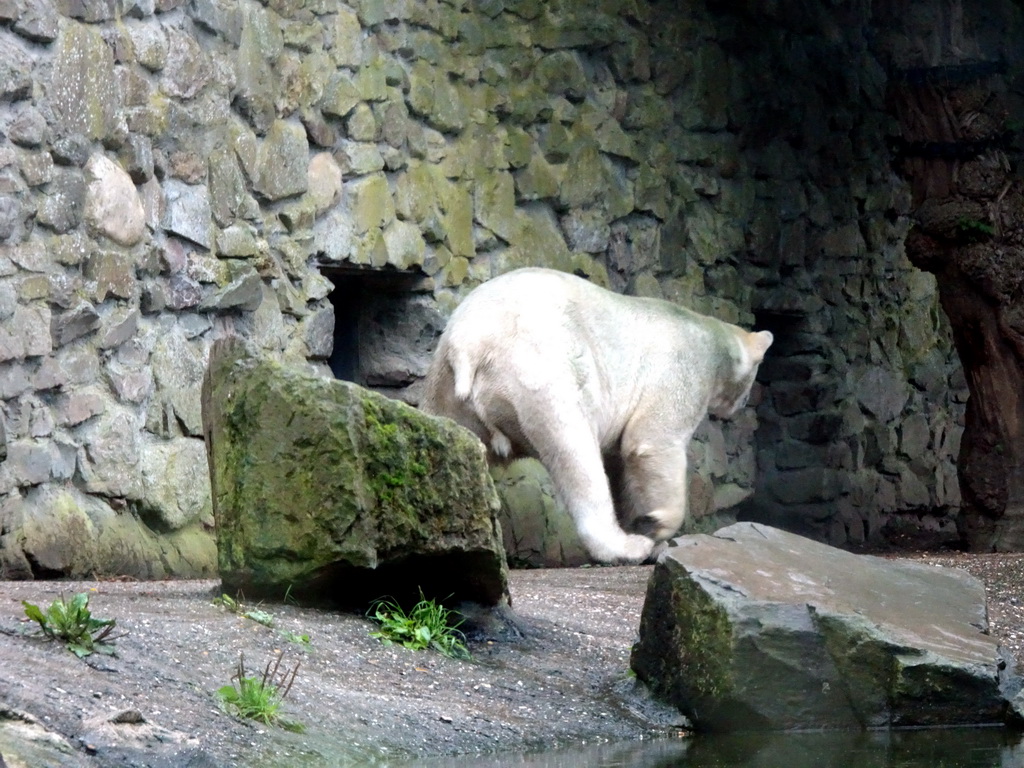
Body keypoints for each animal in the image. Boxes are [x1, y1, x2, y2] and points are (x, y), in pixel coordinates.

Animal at [419, 268, 770, 565]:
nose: (741, 406)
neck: (710, 336)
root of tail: (470, 342)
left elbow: (621, 463)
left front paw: (640, 524)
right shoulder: (683, 367)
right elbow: (651, 441)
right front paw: (655, 527)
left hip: (447, 389)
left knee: (451, 443)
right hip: (540, 366)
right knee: (575, 451)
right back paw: (625, 548)